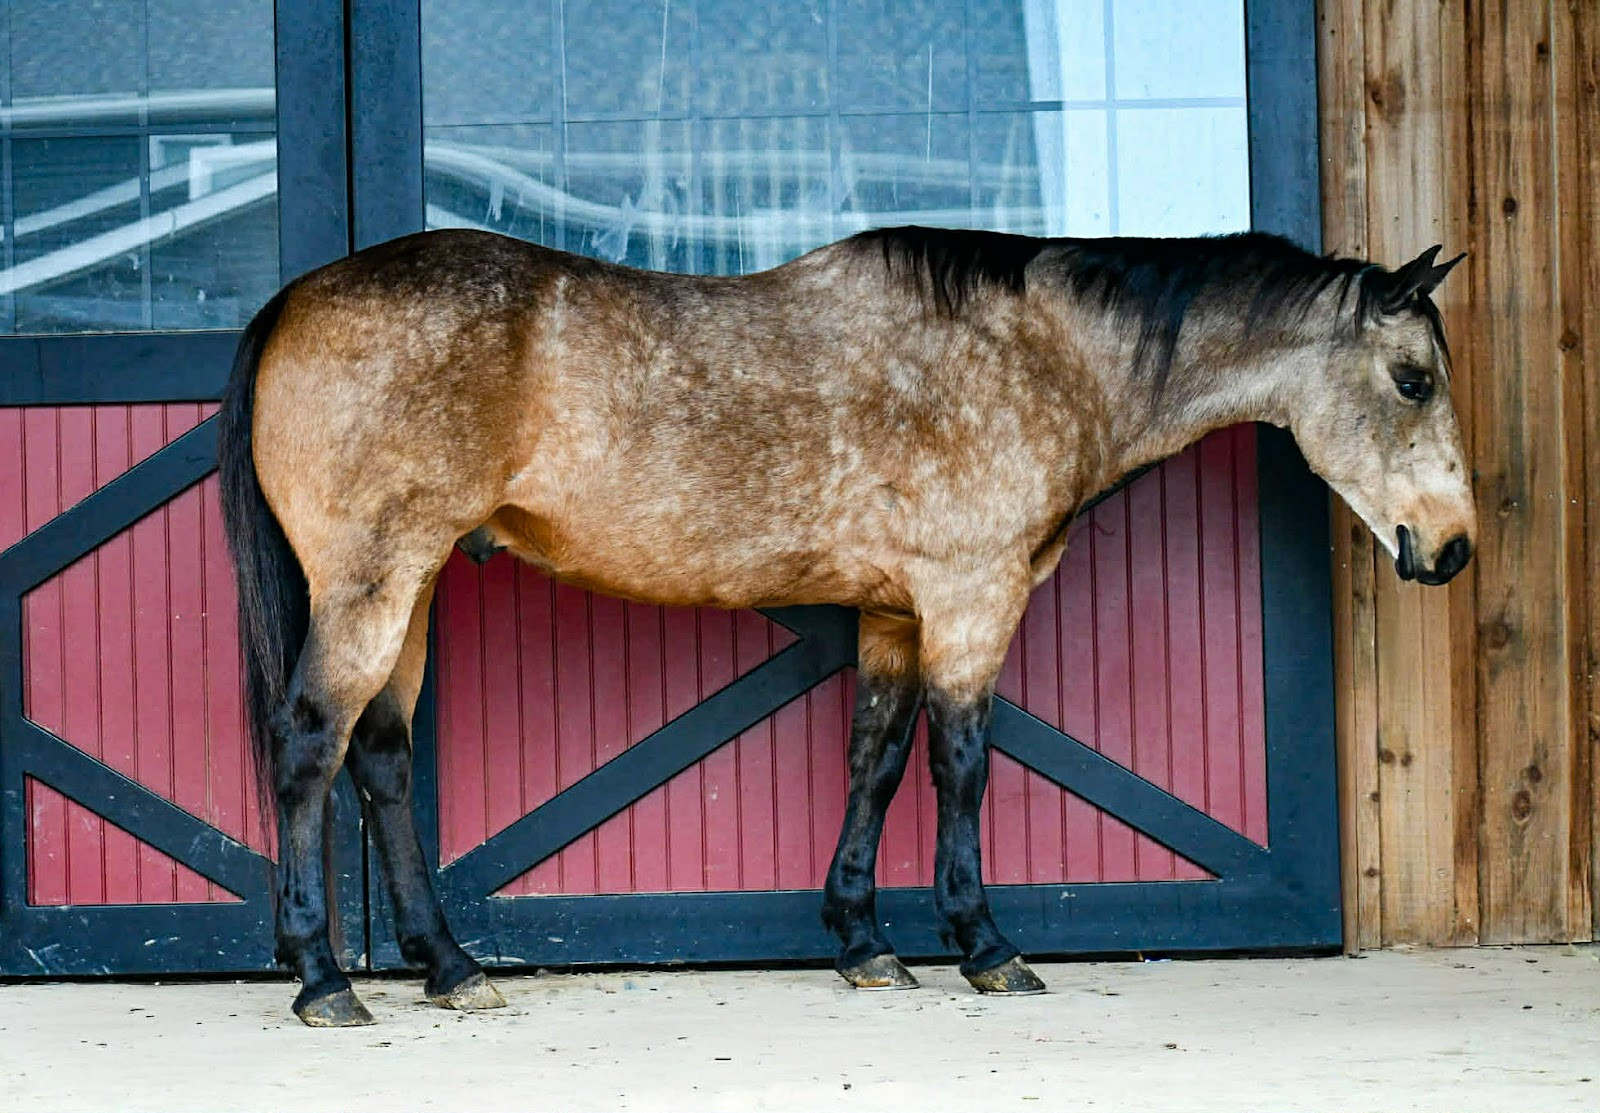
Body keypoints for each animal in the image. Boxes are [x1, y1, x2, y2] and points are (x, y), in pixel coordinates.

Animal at [218, 225, 1473, 1026]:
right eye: (1412, 380)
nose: (1451, 547)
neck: (1037, 354)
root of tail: (294, 297)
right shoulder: (971, 597)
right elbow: (960, 765)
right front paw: (985, 948)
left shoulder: (890, 614)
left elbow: (875, 758)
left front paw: (865, 944)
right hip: (371, 582)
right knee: (309, 743)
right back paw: (325, 979)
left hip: (417, 585)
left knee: (380, 757)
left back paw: (448, 967)